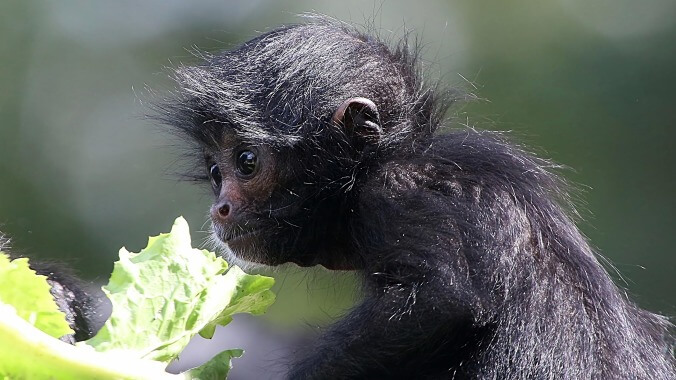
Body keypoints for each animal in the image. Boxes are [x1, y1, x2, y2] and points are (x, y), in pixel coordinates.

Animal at [6, 18, 676, 380]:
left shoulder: (400, 193)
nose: (220, 210)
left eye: (244, 163)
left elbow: (444, 302)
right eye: (214, 171)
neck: (389, 160)